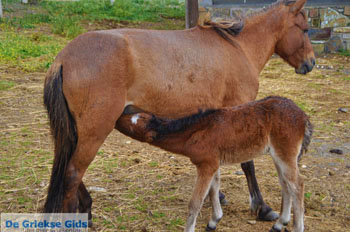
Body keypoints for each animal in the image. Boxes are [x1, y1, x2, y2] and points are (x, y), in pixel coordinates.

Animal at [115, 96, 314, 232]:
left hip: (285, 154)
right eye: (136, 115)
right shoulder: (213, 163)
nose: (119, 115)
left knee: (297, 184)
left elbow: (195, 202)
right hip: (279, 155)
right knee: (285, 184)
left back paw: (297, 227)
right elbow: (214, 189)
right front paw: (214, 220)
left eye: (134, 122)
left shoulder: (206, 165)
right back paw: (279, 223)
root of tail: (303, 116)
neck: (195, 132)